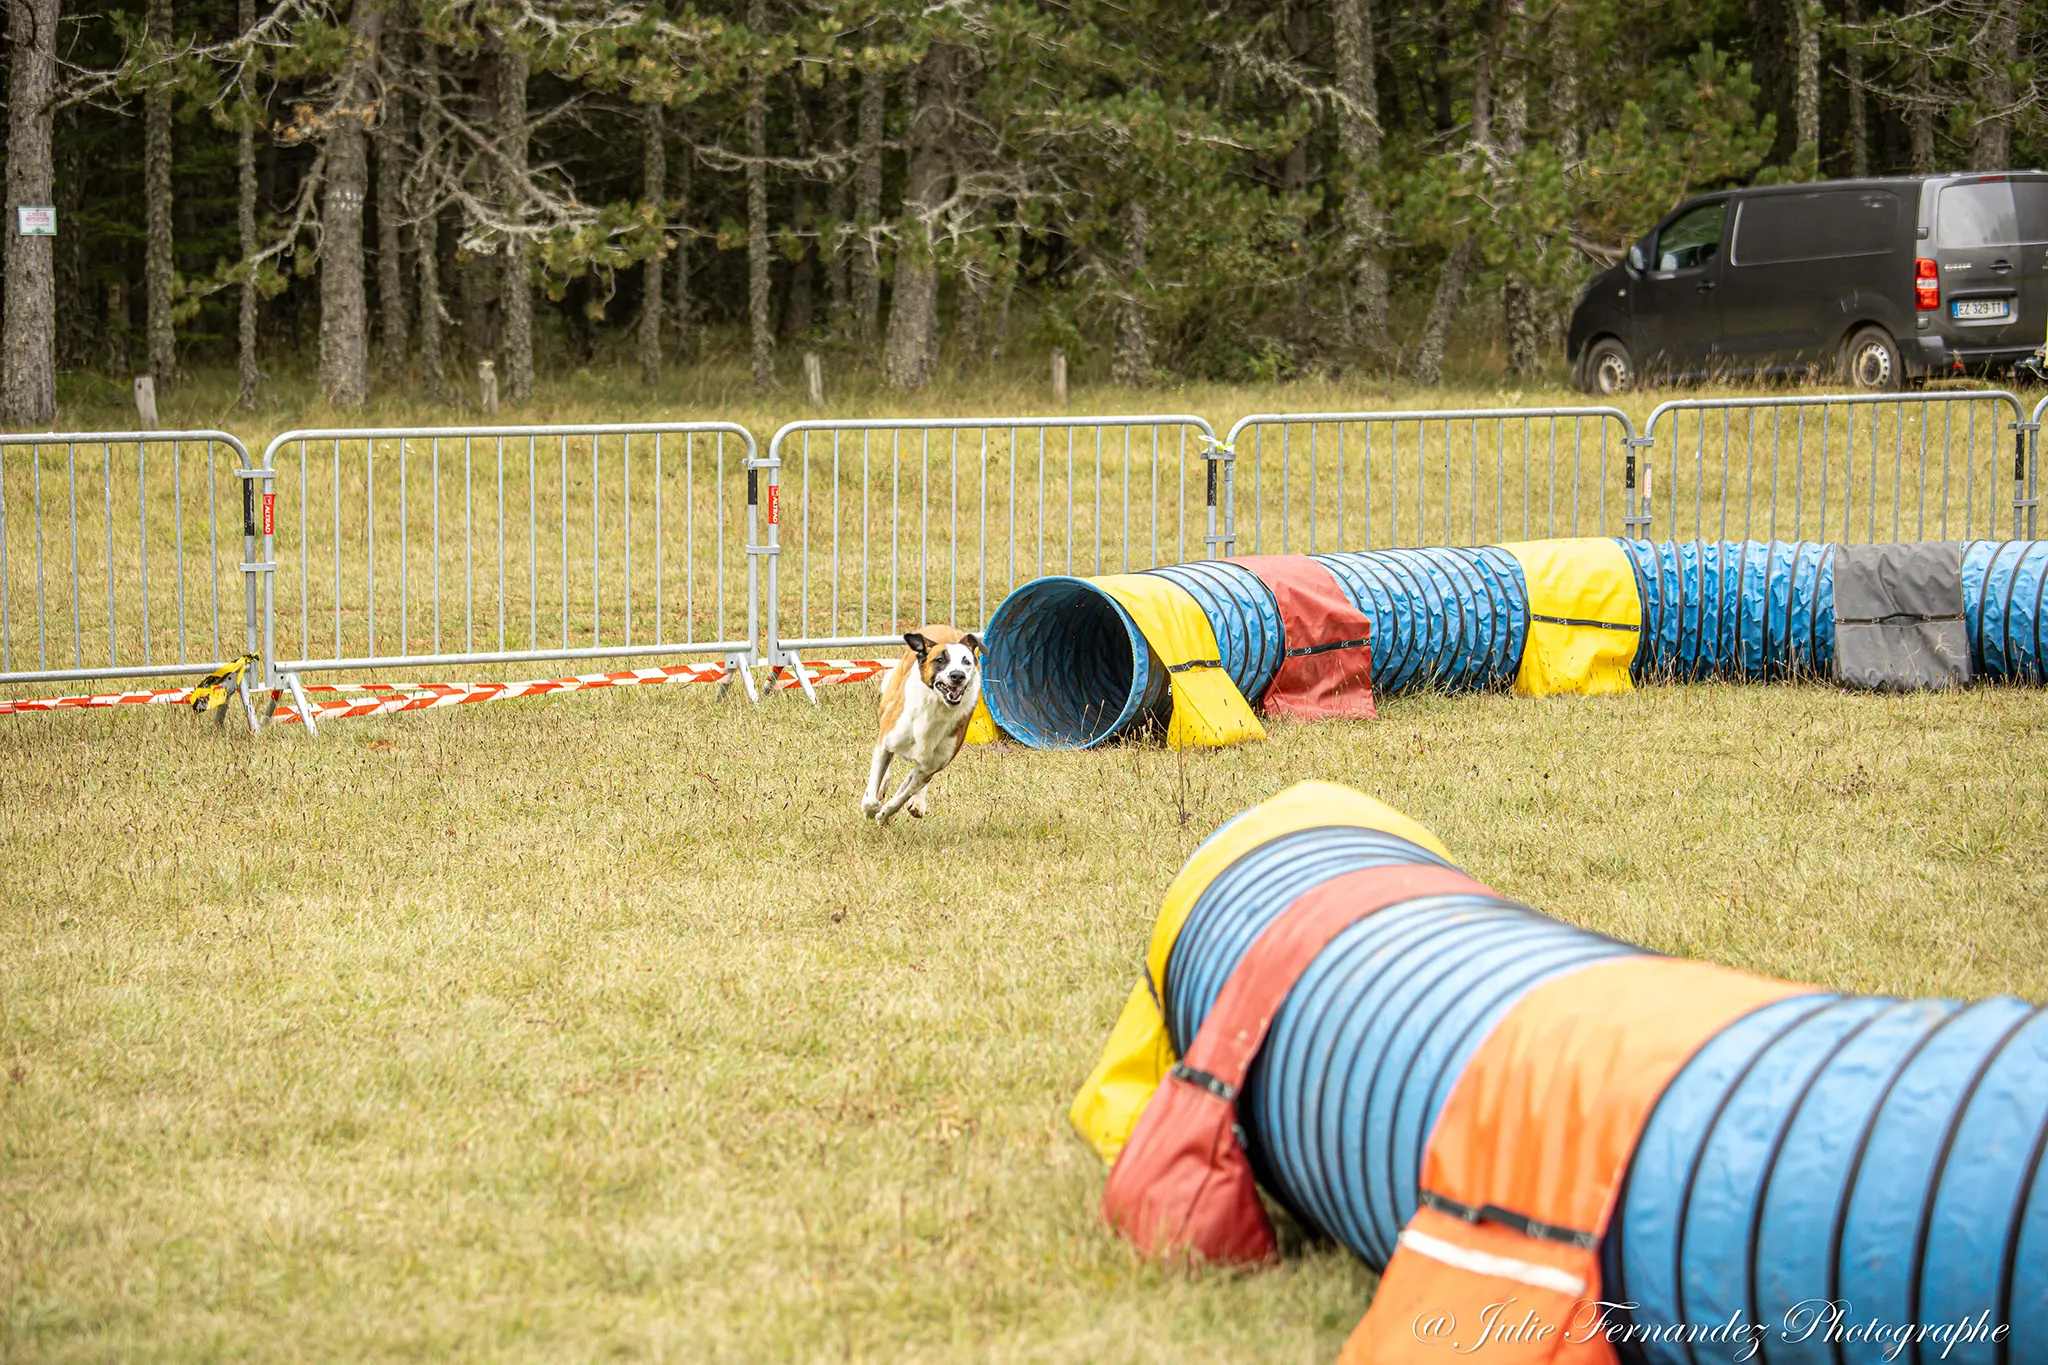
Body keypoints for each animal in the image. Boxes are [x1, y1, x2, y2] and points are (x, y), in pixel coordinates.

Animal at [864, 626, 983, 826]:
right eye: (940, 660)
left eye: (966, 661)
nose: (958, 675)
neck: (935, 707)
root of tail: (945, 626)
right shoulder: (887, 741)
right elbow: (872, 797)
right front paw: (872, 809)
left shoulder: (931, 766)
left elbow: (904, 794)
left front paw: (885, 813)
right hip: (887, 708)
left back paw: (917, 803)